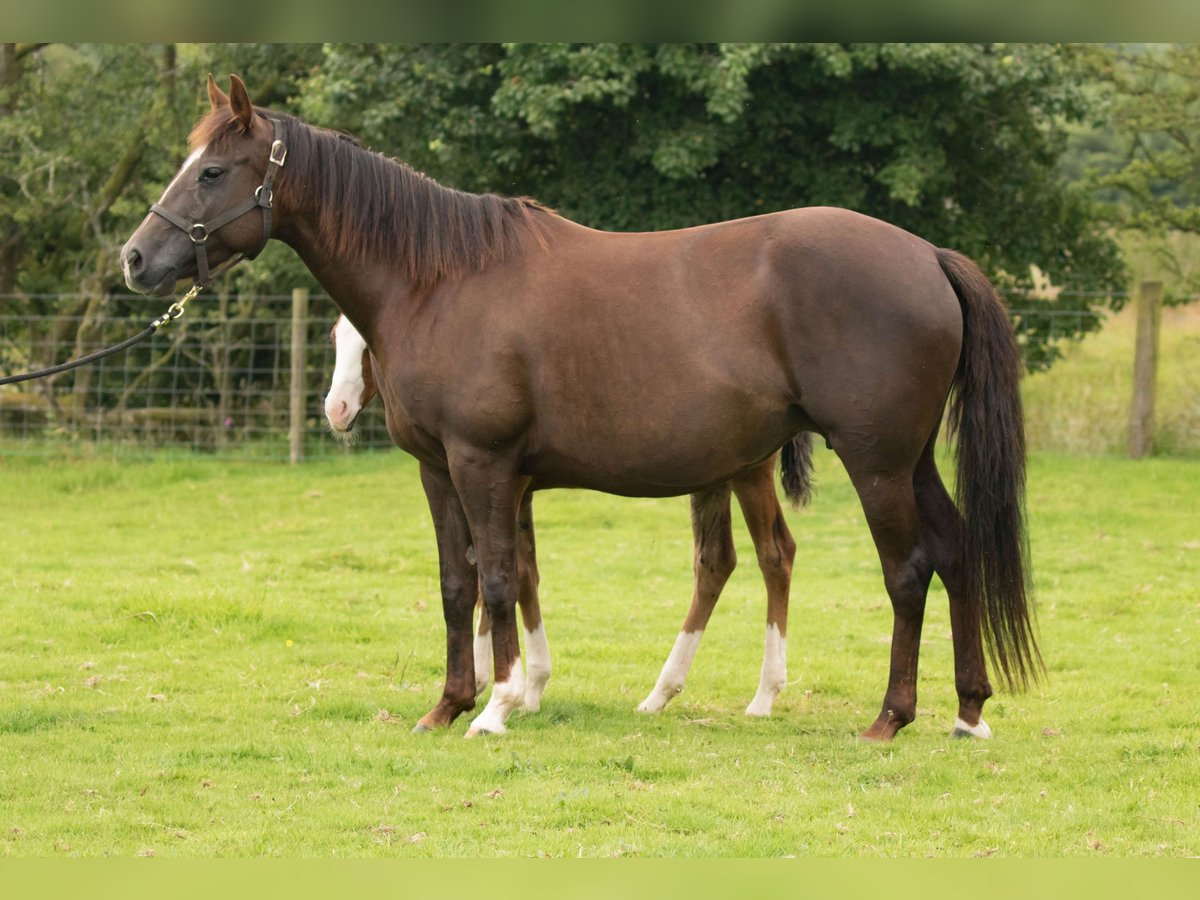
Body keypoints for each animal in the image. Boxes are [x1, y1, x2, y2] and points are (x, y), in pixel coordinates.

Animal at [324, 314, 806, 720]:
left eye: (366, 346)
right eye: (333, 338)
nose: (336, 410)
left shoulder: (504, 484)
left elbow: (507, 574)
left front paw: (507, 686)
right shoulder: (516, 492)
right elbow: (514, 572)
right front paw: (514, 684)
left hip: (750, 473)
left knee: (775, 554)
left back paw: (763, 696)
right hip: (714, 477)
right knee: (715, 561)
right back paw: (660, 694)